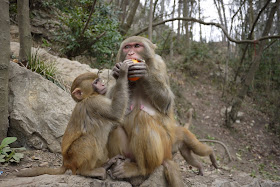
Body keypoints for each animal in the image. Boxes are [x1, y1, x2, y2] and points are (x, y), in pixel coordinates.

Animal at [106, 35, 218, 186]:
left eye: (137, 46)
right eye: (127, 47)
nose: (130, 53)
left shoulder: (159, 64)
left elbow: (166, 102)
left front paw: (145, 73)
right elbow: (115, 110)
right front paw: (118, 73)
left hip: (164, 147)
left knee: (143, 118)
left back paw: (140, 169)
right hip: (131, 152)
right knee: (115, 125)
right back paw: (119, 162)